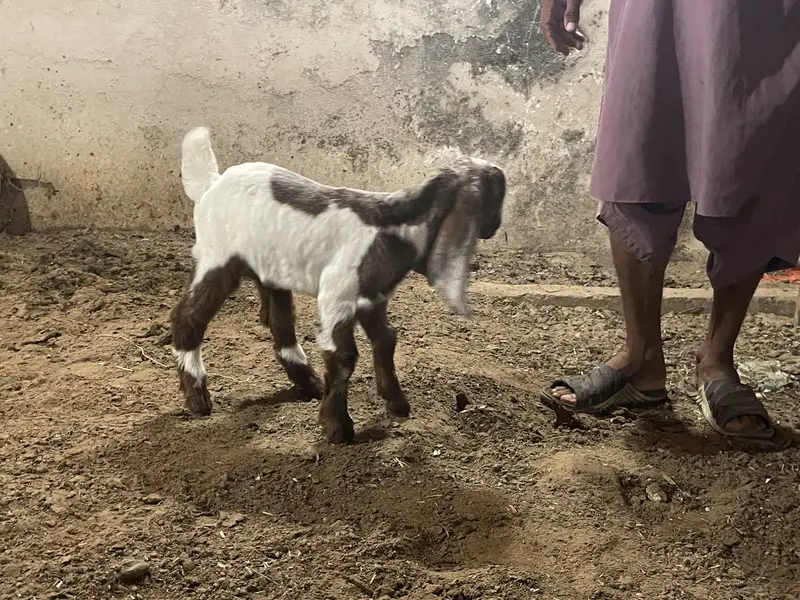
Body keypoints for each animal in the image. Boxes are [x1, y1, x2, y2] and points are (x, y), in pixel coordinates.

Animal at [171, 126, 506, 444]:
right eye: (496, 194)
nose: (496, 227)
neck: (394, 224)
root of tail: (211, 184)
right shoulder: (337, 293)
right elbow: (342, 355)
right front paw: (337, 428)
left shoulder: (372, 298)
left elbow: (386, 339)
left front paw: (397, 404)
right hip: (217, 256)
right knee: (188, 316)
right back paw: (198, 399)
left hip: (272, 266)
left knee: (279, 323)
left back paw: (310, 384)